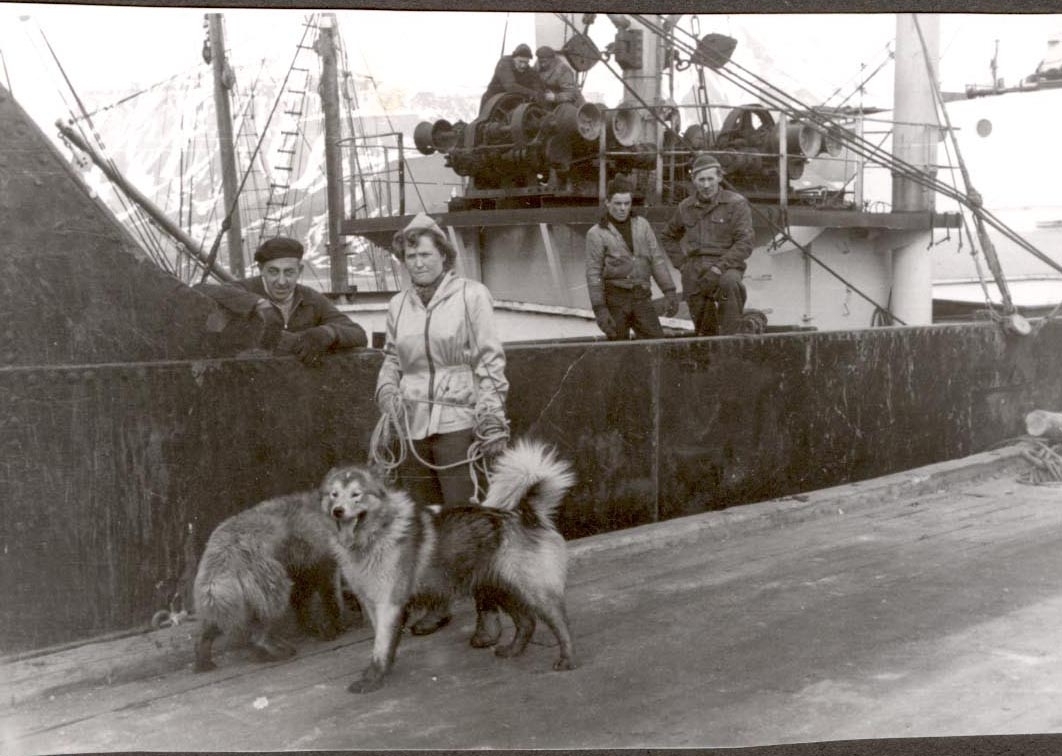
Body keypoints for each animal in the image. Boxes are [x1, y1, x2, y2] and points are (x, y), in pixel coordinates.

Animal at [329, 439, 581, 692]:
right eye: (333, 495)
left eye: (357, 495)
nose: (337, 511)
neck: (379, 532)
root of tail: (525, 515)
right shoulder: (373, 603)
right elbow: (383, 643)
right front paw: (380, 672)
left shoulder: (389, 604)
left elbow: (381, 645)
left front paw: (372, 679)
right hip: (501, 587)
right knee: (527, 623)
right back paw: (512, 650)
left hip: (533, 589)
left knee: (561, 622)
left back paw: (566, 659)